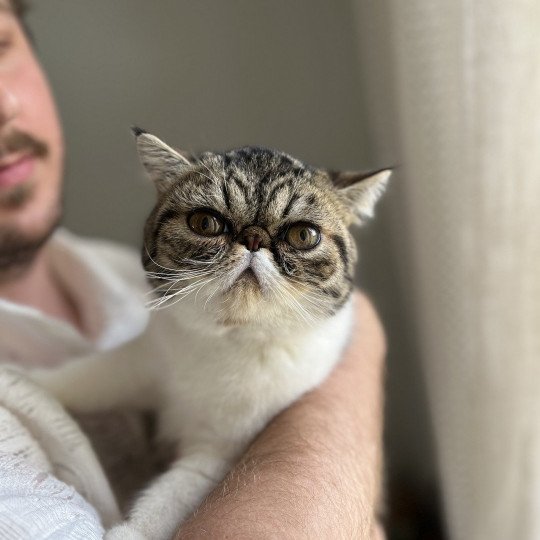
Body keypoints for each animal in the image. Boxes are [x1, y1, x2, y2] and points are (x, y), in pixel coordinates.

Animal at [32, 131, 388, 540]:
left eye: (303, 235)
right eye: (205, 223)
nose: (253, 239)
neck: (227, 341)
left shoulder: (219, 454)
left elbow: (168, 498)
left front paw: (130, 533)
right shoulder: (140, 362)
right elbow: (83, 379)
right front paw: (21, 377)